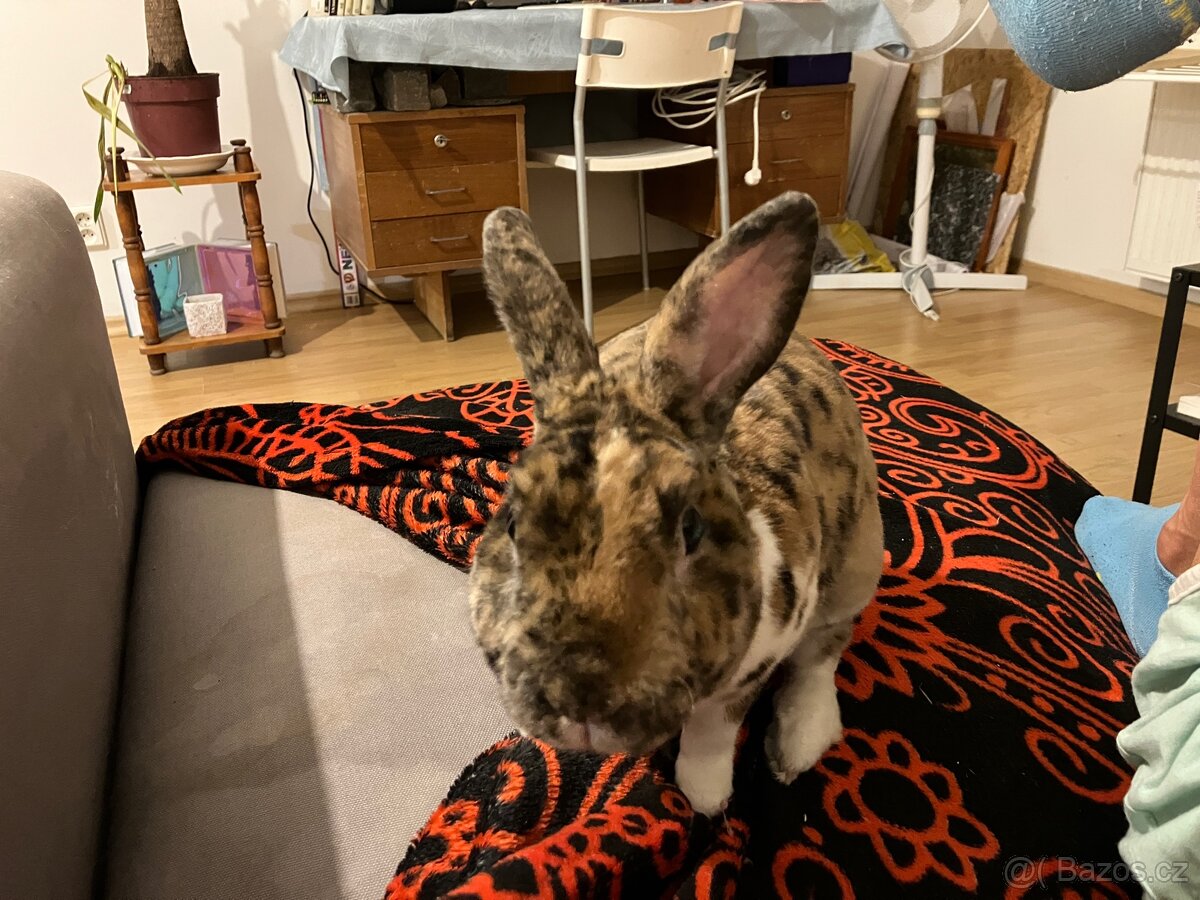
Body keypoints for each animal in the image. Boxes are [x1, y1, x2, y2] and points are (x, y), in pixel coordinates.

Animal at [469, 191, 883, 816]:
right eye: (513, 524)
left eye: (691, 530)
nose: (580, 701)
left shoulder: (748, 673)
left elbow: (712, 732)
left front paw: (703, 799)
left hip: (857, 569)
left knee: (823, 655)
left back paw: (798, 747)